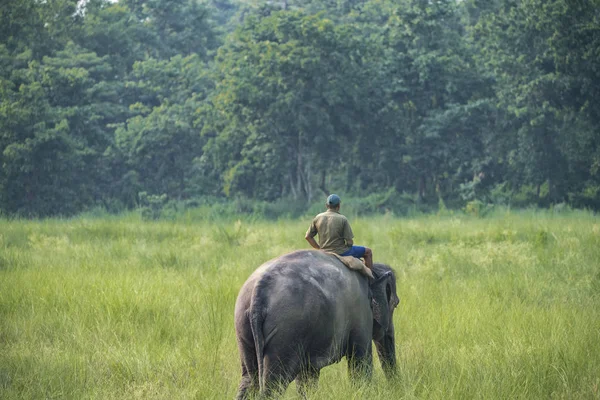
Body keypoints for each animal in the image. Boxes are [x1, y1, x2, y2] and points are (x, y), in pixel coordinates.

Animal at [233, 248, 398, 398]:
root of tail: (258, 292)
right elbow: (361, 363)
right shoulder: (361, 313)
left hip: (243, 326)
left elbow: (308, 376)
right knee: (274, 384)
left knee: (249, 380)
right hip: (286, 331)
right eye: (396, 304)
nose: (395, 387)